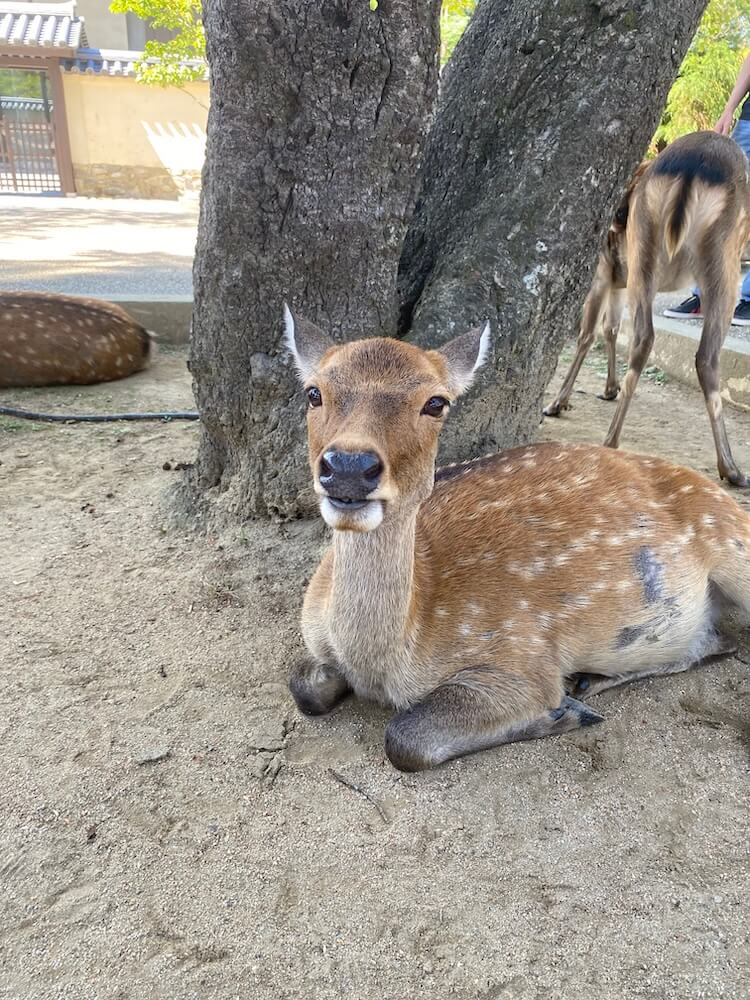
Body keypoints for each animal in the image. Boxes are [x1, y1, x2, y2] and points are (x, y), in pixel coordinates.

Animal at [286, 304, 750, 772]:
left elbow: (405, 736)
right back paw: (590, 681)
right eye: (313, 393)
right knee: (719, 641)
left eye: (436, 402)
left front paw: (561, 713)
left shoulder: (522, 655)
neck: (385, 663)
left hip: (735, 542)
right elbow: (301, 686)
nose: (348, 465)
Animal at [548, 131, 750, 490]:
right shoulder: (618, 280)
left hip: (671, 251)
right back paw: (730, 468)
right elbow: (611, 328)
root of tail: (694, 167)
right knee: (684, 348)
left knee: (661, 342)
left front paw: (557, 402)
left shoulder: (601, 270)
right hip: (665, 255)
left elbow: (588, 333)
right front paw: (609, 388)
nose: (617, 217)